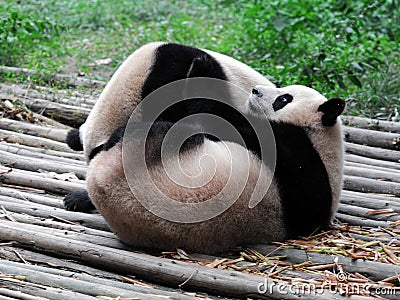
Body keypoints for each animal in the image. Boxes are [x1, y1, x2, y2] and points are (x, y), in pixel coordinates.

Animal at [81, 84, 344, 253]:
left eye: (284, 98)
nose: (255, 90)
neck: (321, 140)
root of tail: (101, 182)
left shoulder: (296, 151)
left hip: (152, 154)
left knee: (163, 132)